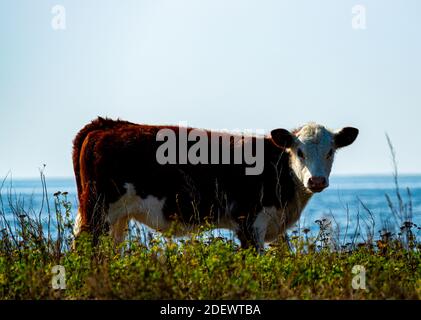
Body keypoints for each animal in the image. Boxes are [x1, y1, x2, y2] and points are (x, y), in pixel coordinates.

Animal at [72, 117, 358, 252]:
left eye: (330, 151)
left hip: (116, 218)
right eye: (299, 152)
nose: (316, 180)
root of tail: (107, 125)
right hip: (98, 210)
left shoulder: (275, 225)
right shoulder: (248, 223)